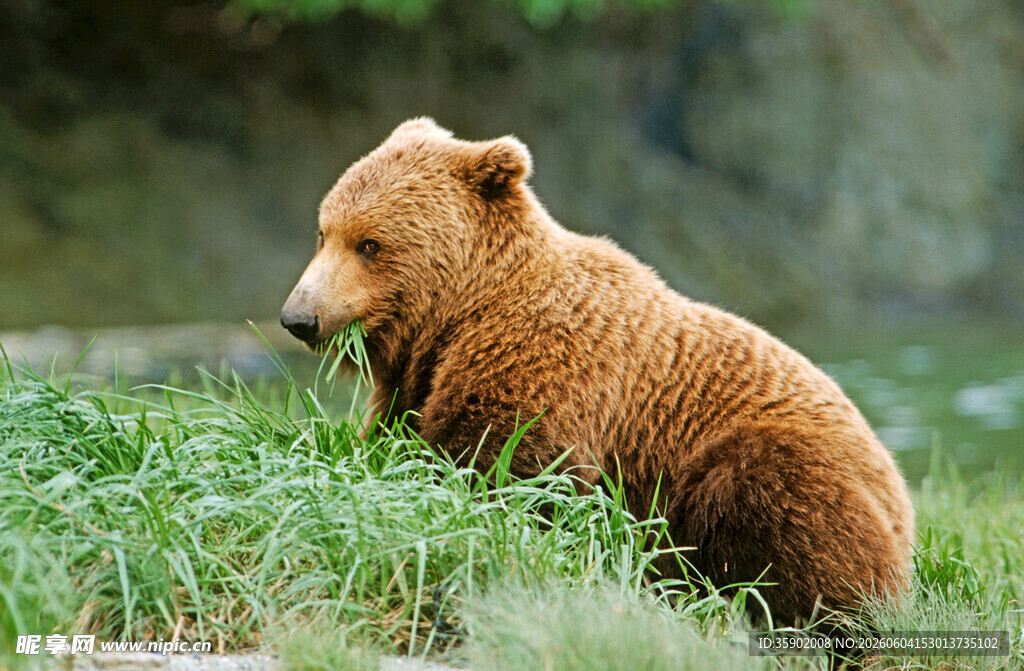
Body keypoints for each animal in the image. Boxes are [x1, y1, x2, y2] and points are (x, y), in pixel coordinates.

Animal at [280, 118, 914, 625]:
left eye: (370, 244)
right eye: (323, 231)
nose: (298, 317)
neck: (463, 312)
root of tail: (901, 493)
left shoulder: (547, 362)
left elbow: (512, 464)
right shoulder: (418, 380)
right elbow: (390, 440)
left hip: (789, 464)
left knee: (777, 507)